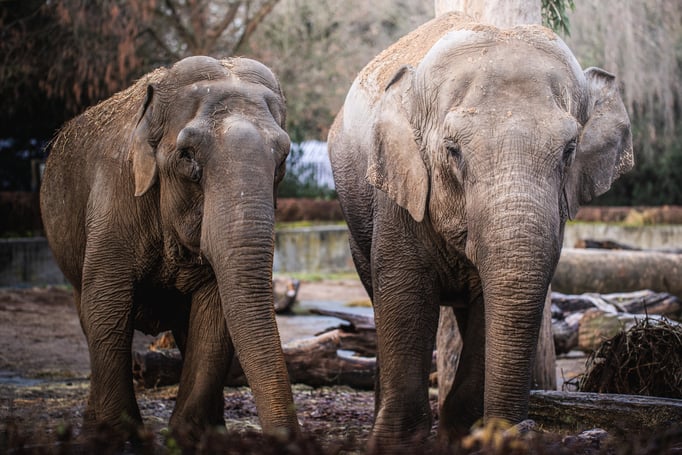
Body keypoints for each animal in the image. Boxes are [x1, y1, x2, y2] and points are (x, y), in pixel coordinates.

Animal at [39, 55, 298, 444]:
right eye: (187, 156)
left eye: (282, 158)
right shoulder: (113, 200)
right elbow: (106, 306)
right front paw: (121, 437)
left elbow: (214, 313)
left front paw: (190, 437)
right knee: (88, 316)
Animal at [326, 12, 628, 450]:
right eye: (452, 150)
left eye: (570, 149)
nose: (517, 431)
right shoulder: (399, 195)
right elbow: (404, 297)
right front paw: (392, 446)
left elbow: (492, 307)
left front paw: (462, 437)